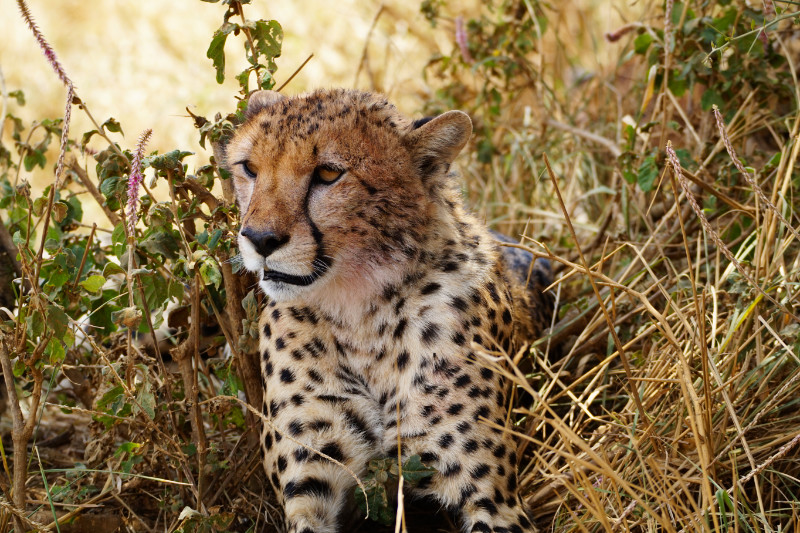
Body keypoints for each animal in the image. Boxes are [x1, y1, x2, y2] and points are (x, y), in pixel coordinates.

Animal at [227, 88, 555, 533]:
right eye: (249, 168)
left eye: (328, 174)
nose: (260, 239)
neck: (360, 312)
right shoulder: (310, 488)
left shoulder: (492, 499)